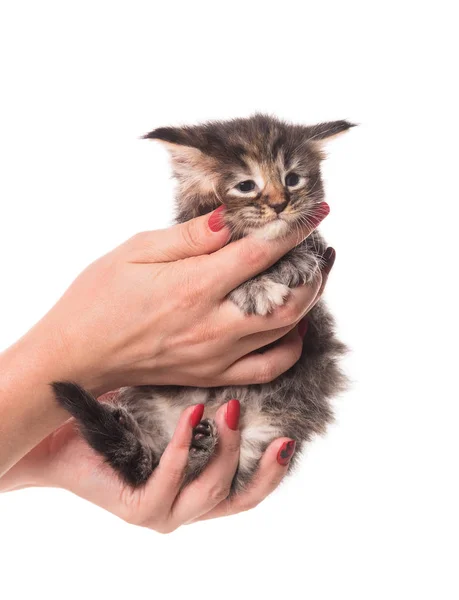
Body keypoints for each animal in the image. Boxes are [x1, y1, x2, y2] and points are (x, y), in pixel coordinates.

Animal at [52, 116, 354, 492]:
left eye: (293, 179)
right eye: (245, 185)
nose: (280, 204)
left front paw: (296, 259)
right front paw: (256, 287)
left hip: (272, 428)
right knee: (162, 468)